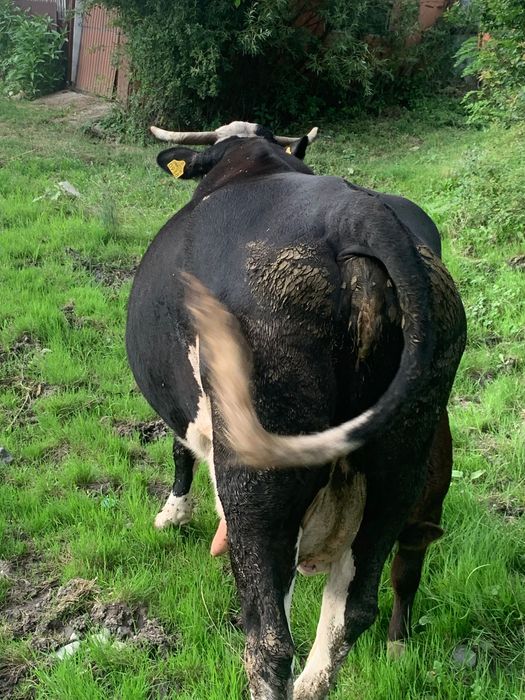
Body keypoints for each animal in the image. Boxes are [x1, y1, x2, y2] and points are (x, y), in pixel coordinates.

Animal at [126, 121, 466, 700]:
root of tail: (356, 215)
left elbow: (178, 446)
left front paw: (173, 513)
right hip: (400, 466)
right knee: (353, 608)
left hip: (257, 472)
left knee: (269, 639)